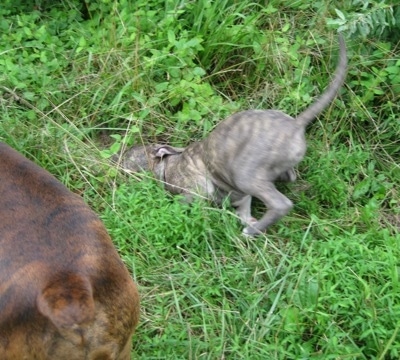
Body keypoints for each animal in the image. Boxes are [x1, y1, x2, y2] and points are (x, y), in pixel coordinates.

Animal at [116, 35, 346, 235]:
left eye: (129, 155)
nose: (115, 159)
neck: (167, 163)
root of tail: (295, 124)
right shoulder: (239, 196)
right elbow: (243, 208)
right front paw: (247, 218)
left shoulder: (193, 191)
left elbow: (186, 202)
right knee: (289, 177)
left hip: (246, 174)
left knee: (281, 203)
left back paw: (252, 231)